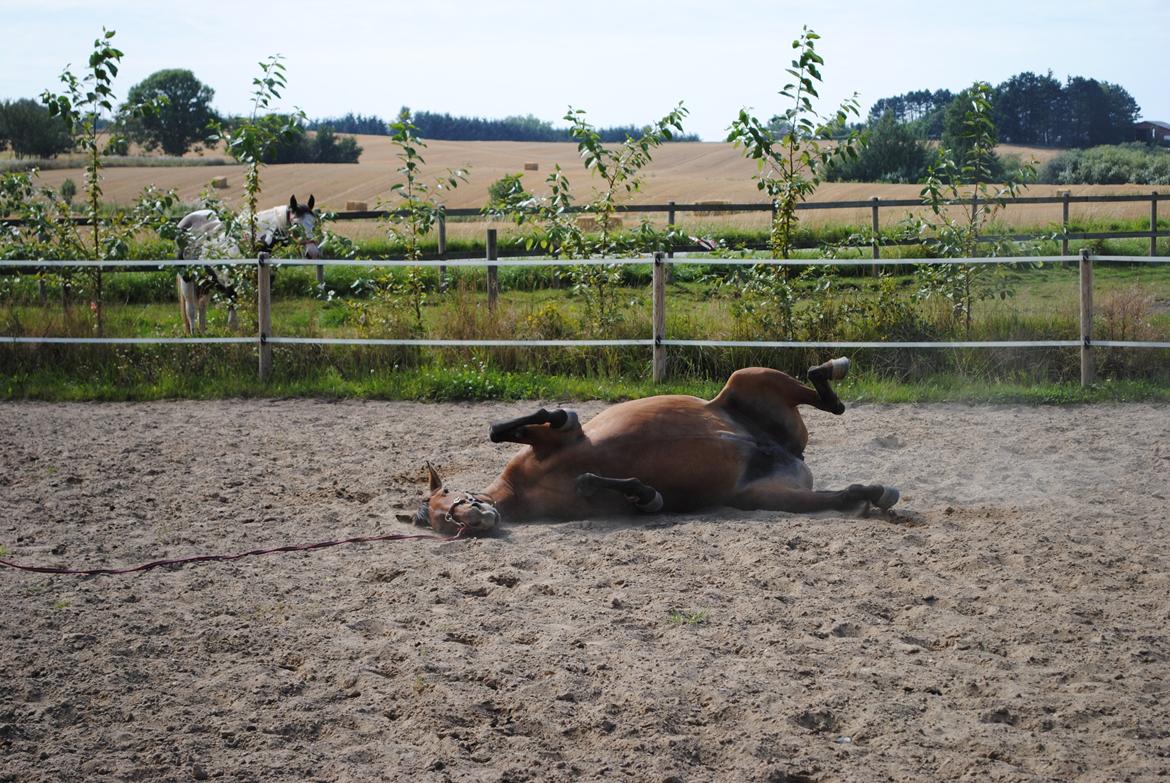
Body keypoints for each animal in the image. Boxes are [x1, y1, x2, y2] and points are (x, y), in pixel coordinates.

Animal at [173, 194, 320, 332]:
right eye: (296, 224)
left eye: (314, 223)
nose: (312, 253)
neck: (249, 244)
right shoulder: (230, 287)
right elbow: (232, 322)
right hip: (187, 277)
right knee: (190, 310)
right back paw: (194, 333)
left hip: (208, 280)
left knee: (202, 305)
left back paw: (203, 332)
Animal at [416, 358, 898, 531]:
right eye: (437, 519)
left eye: (446, 495)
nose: (477, 519)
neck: (521, 490)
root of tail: (788, 454)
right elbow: (617, 489)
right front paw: (644, 493)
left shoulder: (556, 439)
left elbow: (506, 426)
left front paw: (557, 413)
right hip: (771, 495)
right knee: (839, 494)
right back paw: (875, 494)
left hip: (748, 376)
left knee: (828, 398)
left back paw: (833, 366)